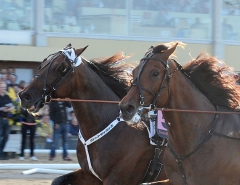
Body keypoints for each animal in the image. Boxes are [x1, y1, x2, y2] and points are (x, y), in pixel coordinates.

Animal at [18, 44, 167, 185]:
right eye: (42, 64)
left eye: (61, 67)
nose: (25, 96)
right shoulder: (90, 175)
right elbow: (57, 180)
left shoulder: (117, 178)